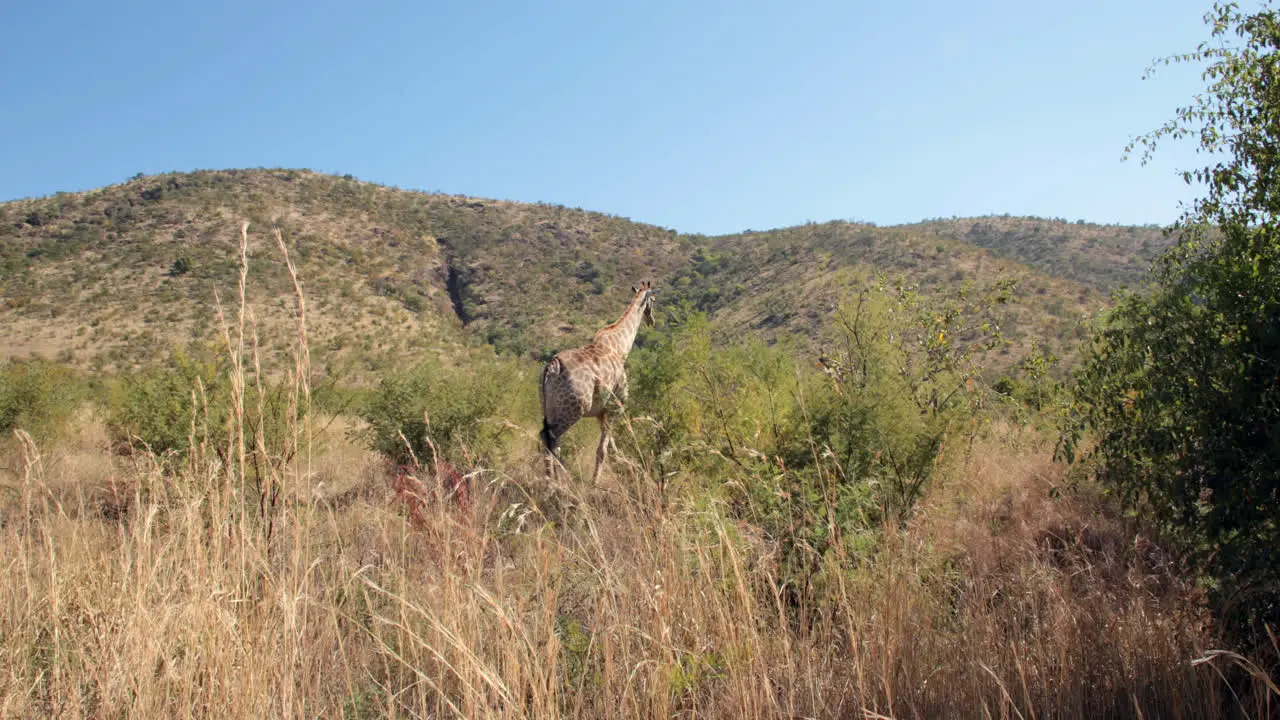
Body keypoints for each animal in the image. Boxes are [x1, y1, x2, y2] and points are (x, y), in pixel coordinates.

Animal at [542, 280, 660, 481]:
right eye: (652, 300)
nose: (652, 320)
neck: (620, 348)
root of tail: (553, 367)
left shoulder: (601, 413)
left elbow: (612, 448)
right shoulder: (617, 405)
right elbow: (602, 450)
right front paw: (595, 483)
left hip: (549, 409)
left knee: (546, 439)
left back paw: (551, 480)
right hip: (573, 409)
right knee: (554, 442)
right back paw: (557, 482)